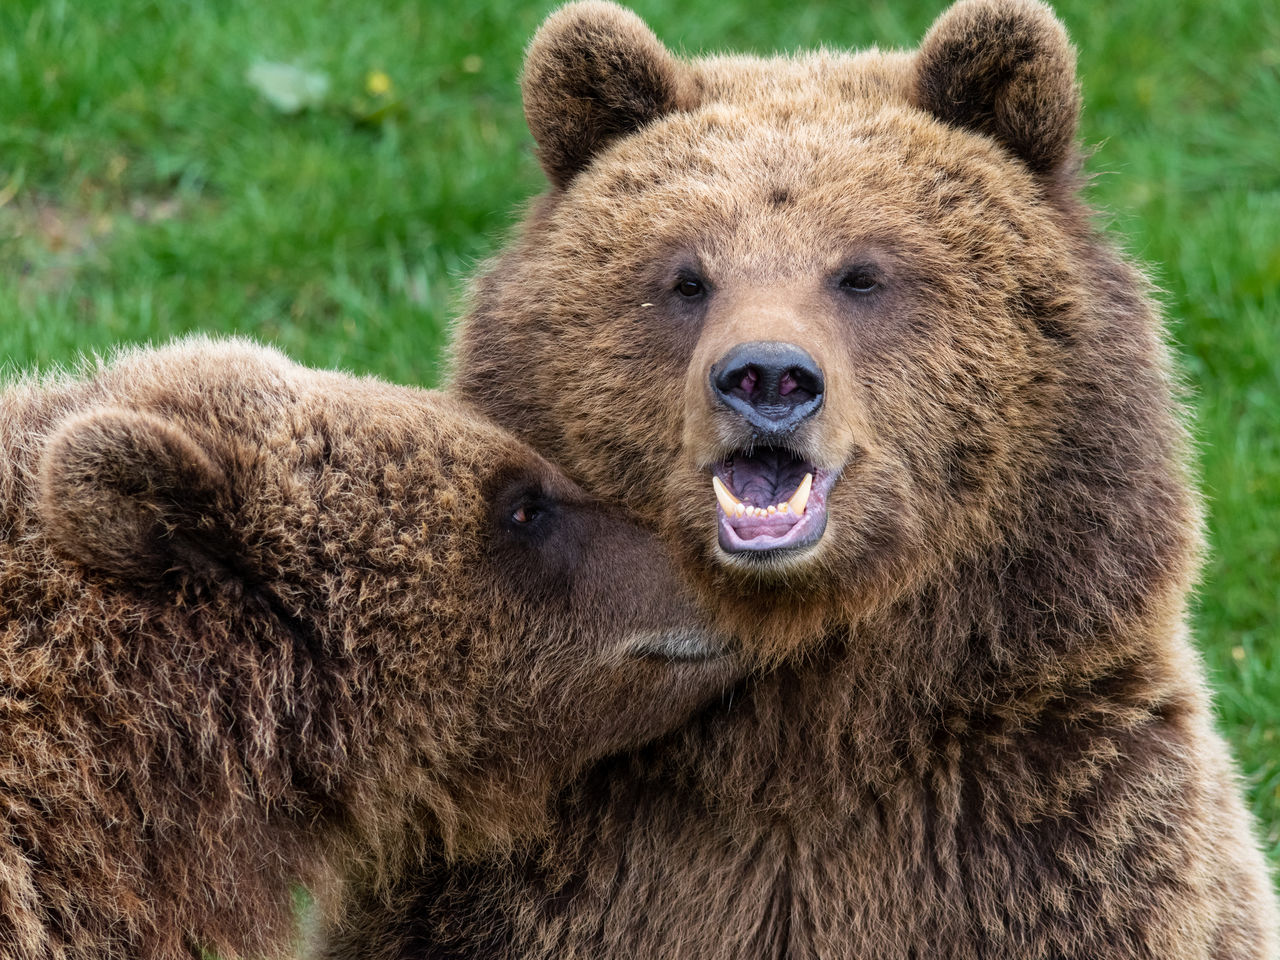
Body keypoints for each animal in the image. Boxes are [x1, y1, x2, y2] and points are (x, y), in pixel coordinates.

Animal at [317, 1, 1280, 960]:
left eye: (861, 274)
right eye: (687, 278)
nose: (769, 377)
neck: (803, 724)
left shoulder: (1049, 841)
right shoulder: (527, 880)